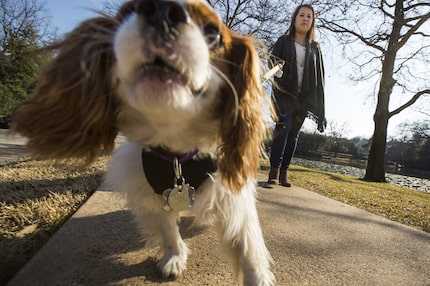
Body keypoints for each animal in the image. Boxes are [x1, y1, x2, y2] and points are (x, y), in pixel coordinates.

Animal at [13, 0, 276, 284]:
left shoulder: (232, 195)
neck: (176, 149)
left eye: (213, 32)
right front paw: (175, 257)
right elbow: (168, 228)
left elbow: (249, 249)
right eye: (127, 13)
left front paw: (257, 277)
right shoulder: (154, 191)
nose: (162, 12)